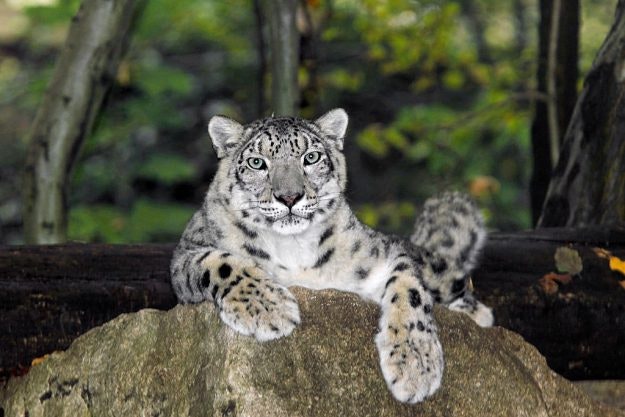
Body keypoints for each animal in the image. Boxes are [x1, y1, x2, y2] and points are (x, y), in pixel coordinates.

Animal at [169, 108, 492, 404]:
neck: (293, 247)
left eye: (311, 157)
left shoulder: (383, 254)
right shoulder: (186, 254)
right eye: (256, 162)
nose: (289, 197)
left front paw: (416, 365)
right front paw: (270, 308)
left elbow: (409, 289)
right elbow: (222, 263)